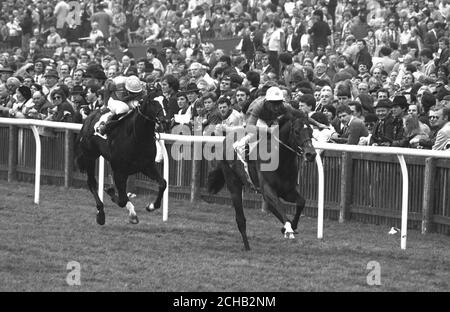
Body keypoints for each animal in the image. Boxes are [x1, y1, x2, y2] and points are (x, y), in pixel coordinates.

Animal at [75, 92, 167, 224]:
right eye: (152, 102)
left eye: (165, 101)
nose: (165, 120)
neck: (137, 137)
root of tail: (89, 116)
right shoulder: (119, 171)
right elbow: (122, 200)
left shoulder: (147, 166)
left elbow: (163, 183)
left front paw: (151, 206)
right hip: (90, 157)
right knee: (91, 182)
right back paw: (100, 214)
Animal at [207, 108, 316, 250]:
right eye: (297, 131)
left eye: (311, 132)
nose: (311, 154)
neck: (280, 160)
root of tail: (227, 138)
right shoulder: (268, 189)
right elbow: (279, 205)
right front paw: (288, 229)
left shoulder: (287, 191)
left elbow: (301, 202)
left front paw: (290, 226)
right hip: (233, 182)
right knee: (240, 219)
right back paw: (247, 247)